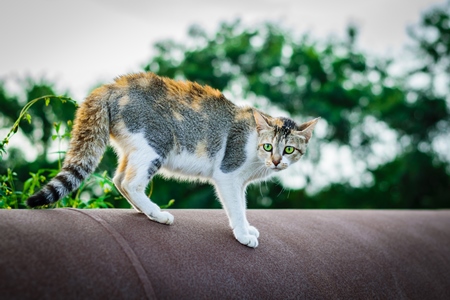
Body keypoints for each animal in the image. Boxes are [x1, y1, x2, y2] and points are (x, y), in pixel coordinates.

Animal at [26, 71, 318, 247]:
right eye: (268, 147)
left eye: (288, 150)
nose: (277, 161)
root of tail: (110, 86)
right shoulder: (228, 174)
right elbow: (236, 207)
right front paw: (243, 234)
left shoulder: (241, 182)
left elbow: (242, 206)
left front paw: (246, 228)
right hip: (155, 144)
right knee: (130, 182)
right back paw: (157, 213)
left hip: (135, 149)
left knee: (119, 179)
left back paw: (145, 211)